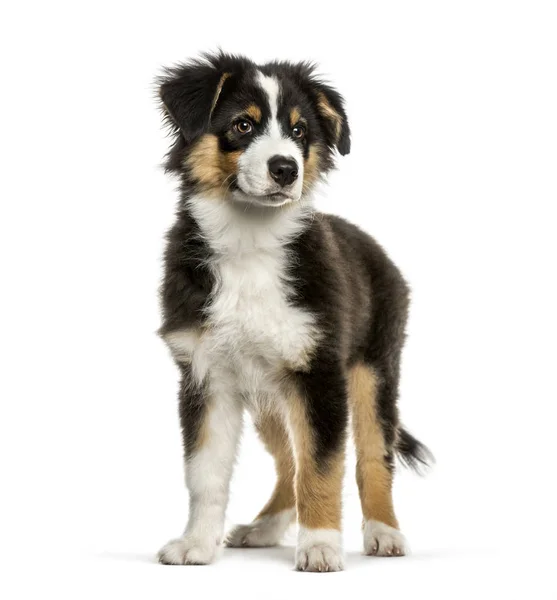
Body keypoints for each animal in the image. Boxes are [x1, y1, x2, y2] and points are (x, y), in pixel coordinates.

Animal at [156, 51, 430, 572]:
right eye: (242, 125)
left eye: (300, 131)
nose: (285, 168)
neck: (250, 243)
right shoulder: (205, 374)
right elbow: (205, 473)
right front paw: (196, 544)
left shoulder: (318, 372)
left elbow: (322, 467)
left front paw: (320, 546)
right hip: (271, 390)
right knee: (287, 460)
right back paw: (265, 527)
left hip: (373, 370)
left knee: (372, 457)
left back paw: (384, 533)